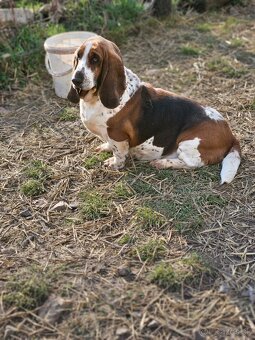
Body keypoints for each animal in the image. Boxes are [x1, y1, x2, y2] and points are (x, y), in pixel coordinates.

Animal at [66, 35, 240, 183]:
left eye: (95, 59)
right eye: (78, 56)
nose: (75, 80)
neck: (94, 98)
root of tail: (230, 134)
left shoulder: (117, 135)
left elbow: (119, 153)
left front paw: (114, 164)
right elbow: (110, 145)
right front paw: (105, 147)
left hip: (188, 143)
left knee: (192, 163)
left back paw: (162, 163)